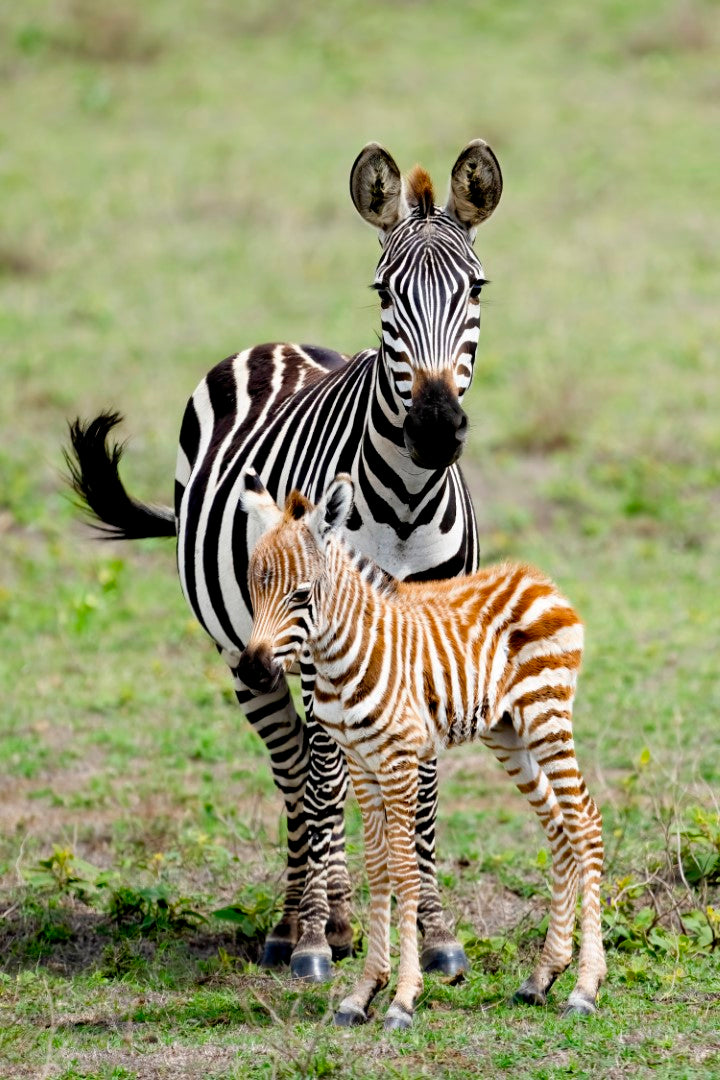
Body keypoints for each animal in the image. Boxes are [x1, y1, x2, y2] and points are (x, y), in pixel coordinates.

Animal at [65, 139, 503, 981]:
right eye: (384, 292)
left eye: (475, 287)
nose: (434, 430)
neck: (405, 503)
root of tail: (273, 345)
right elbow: (323, 777)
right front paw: (311, 942)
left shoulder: (430, 643)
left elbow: (423, 789)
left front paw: (432, 933)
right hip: (247, 651)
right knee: (300, 765)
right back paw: (301, 923)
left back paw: (338, 915)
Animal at [239, 473, 606, 1029]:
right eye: (253, 587)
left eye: (301, 593)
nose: (254, 671)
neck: (342, 654)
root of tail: (537, 578)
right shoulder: (361, 763)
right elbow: (378, 869)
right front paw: (362, 994)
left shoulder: (398, 759)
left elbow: (407, 870)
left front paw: (402, 999)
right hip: (508, 732)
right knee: (558, 827)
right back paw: (542, 977)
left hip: (547, 717)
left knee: (585, 821)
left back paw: (585, 988)